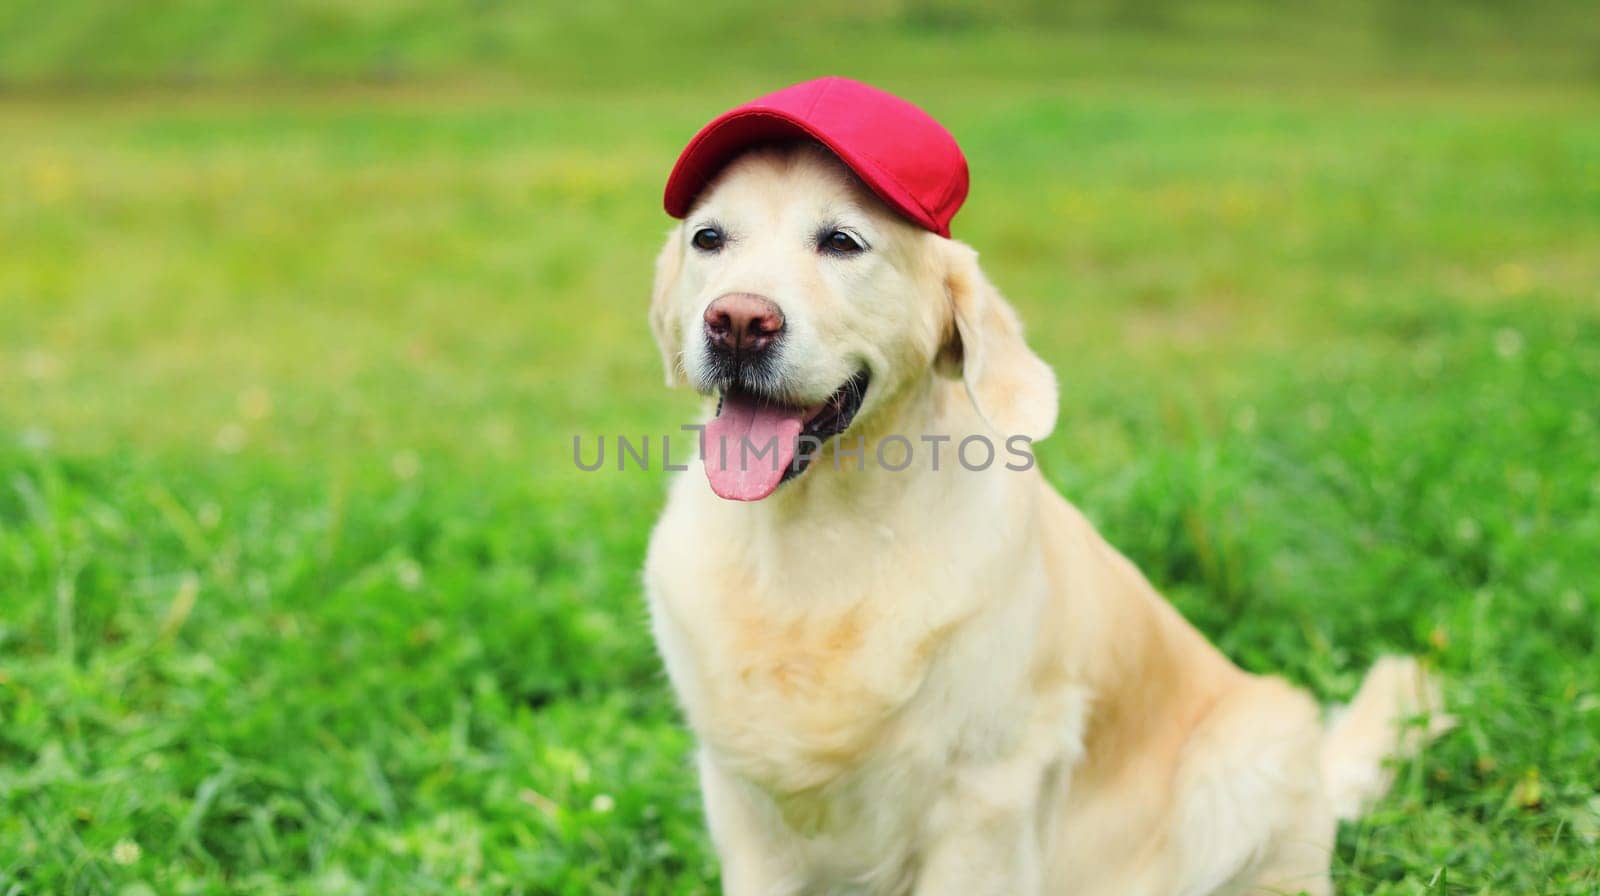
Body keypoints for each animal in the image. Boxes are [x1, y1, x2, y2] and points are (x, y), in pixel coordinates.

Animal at [640, 143, 1452, 889]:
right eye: (708, 238)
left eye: (842, 242)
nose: (737, 321)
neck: (820, 534)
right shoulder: (741, 802)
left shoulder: (986, 795)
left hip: (1255, 751)